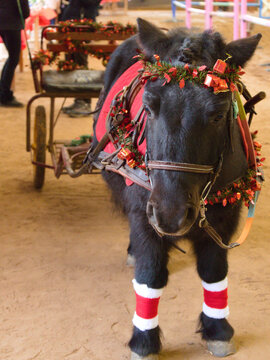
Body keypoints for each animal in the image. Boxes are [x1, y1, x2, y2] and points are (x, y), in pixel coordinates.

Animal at [92, 17, 260, 360]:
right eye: (148, 106)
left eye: (219, 113)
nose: (171, 215)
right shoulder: (145, 212)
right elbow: (150, 275)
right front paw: (144, 340)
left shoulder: (225, 216)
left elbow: (214, 271)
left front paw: (218, 330)